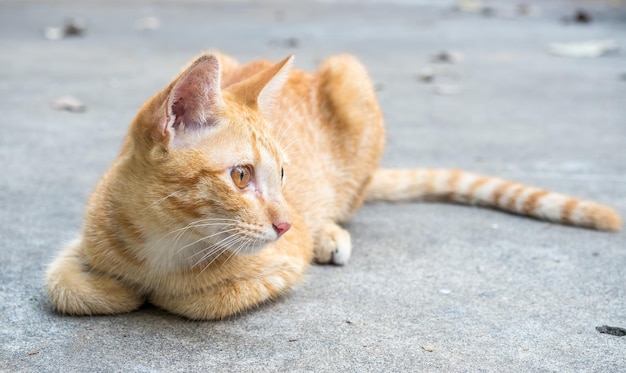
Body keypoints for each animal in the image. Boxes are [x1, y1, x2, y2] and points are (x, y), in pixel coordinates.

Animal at [45, 51, 620, 320]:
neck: (166, 241)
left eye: (284, 175)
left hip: (353, 77)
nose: (286, 222)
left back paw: (329, 232)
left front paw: (158, 294)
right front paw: (117, 290)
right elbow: (62, 287)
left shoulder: (282, 262)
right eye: (241, 175)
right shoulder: (82, 243)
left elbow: (194, 300)